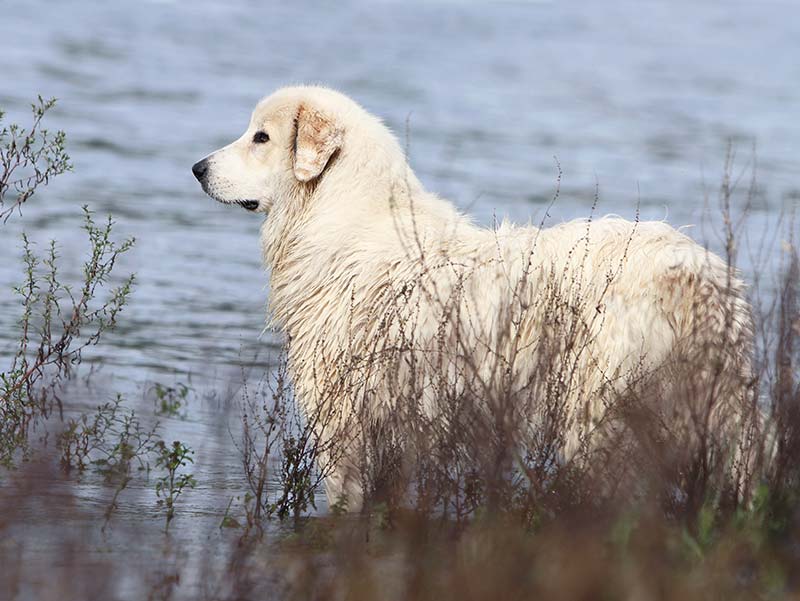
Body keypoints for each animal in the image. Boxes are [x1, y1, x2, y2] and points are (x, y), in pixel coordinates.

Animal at [192, 84, 756, 506]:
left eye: (261, 137)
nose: (198, 168)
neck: (342, 214)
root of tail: (696, 273)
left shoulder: (343, 419)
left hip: (599, 413)